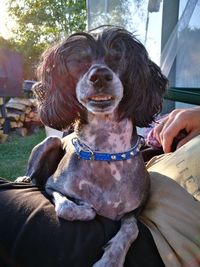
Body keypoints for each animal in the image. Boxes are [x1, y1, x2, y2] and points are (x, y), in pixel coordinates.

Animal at [16, 28, 167, 266]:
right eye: (79, 61)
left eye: (118, 58)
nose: (100, 76)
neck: (104, 153)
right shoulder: (51, 186)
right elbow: (67, 208)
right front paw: (85, 207)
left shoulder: (135, 210)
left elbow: (131, 229)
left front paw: (111, 258)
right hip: (52, 142)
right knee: (34, 171)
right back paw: (24, 178)